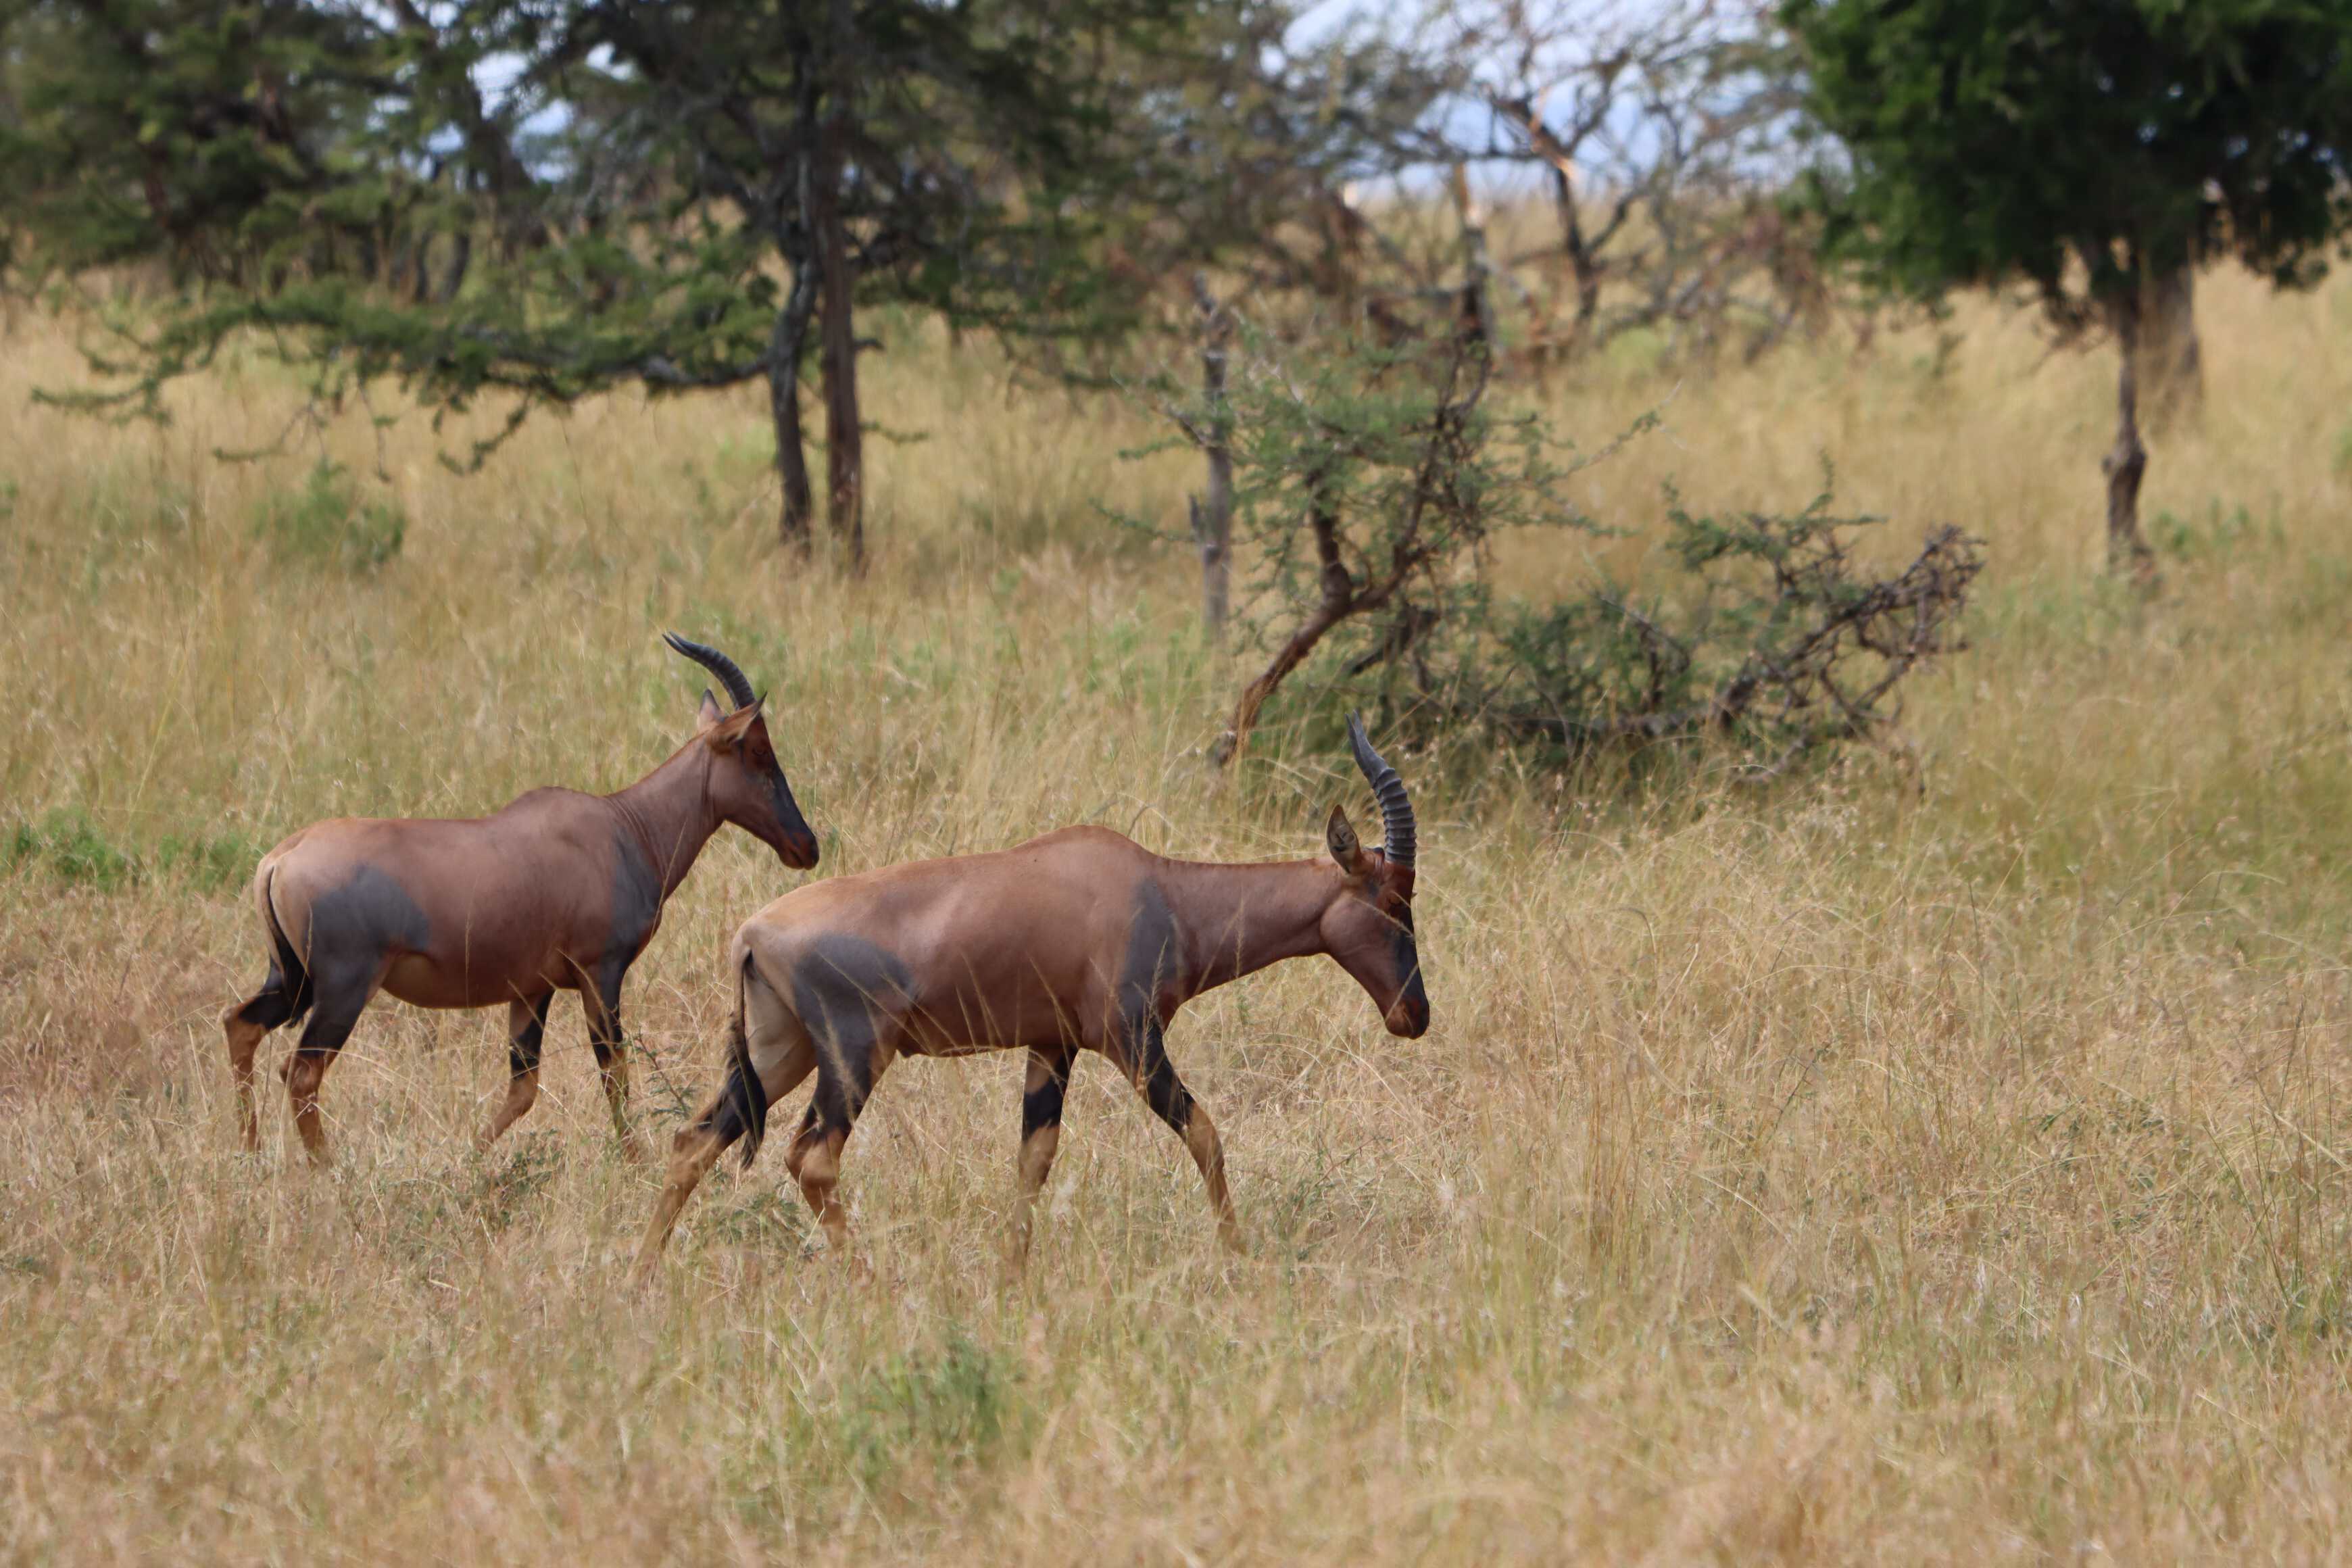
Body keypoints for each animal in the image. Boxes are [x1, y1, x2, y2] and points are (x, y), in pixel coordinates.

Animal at [221, 630, 823, 1161]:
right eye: (758, 750)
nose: (806, 846)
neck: (621, 826)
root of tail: (281, 857)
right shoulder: (600, 973)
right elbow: (615, 1071)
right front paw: (635, 1161)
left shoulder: (531, 989)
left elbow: (524, 1088)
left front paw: (468, 1159)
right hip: (343, 987)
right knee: (302, 1071)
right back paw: (325, 1167)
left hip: (294, 980)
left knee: (241, 1025)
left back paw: (251, 1151)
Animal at [635, 719, 1420, 1279]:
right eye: (1391, 900)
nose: (1415, 1014)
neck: (1158, 890)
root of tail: (751, 932)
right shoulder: (1133, 1041)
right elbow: (1205, 1133)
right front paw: (1239, 1257)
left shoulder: (1052, 1045)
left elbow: (1033, 1161)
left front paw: (1013, 1277)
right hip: (854, 1056)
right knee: (812, 1159)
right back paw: (870, 1283)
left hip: (780, 1053)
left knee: (693, 1141)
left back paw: (641, 1277)